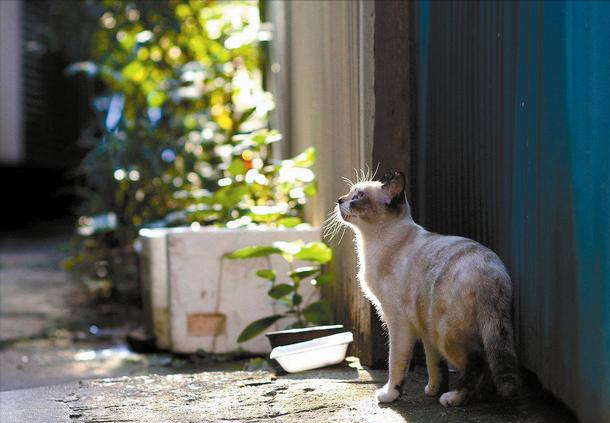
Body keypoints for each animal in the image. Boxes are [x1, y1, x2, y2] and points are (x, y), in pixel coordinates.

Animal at [330, 171, 520, 408]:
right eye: (350, 193)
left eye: (358, 196)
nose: (340, 200)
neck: (373, 243)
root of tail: (493, 275)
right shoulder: (423, 328)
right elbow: (434, 364)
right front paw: (432, 389)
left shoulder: (398, 322)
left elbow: (396, 363)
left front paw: (390, 394)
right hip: (440, 327)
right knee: (486, 366)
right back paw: (477, 396)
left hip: (443, 332)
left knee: (476, 364)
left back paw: (453, 399)